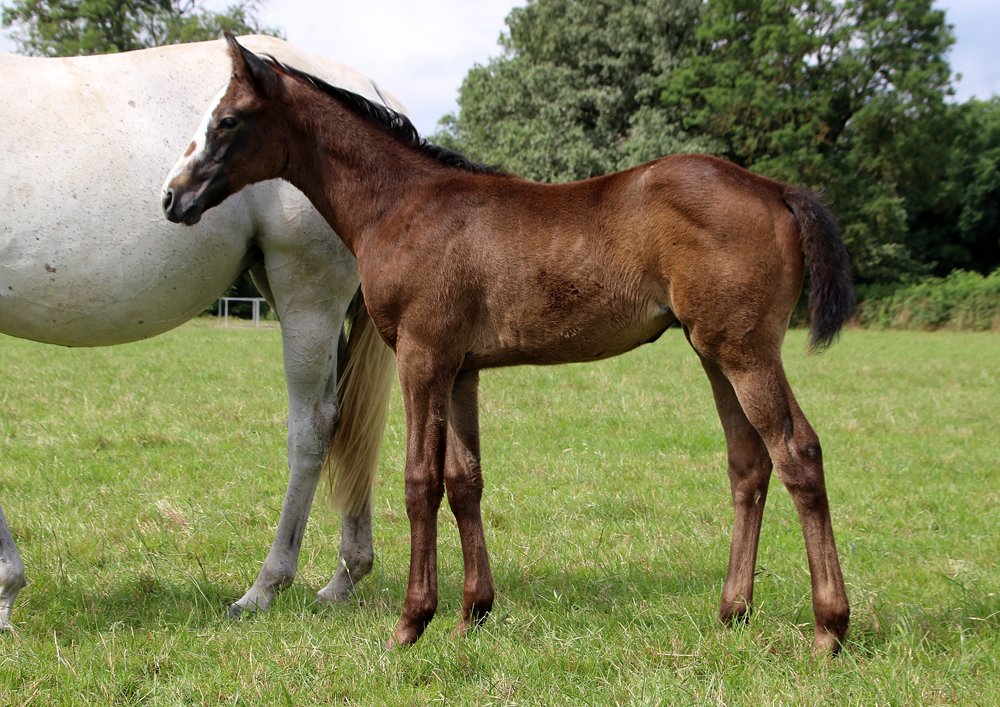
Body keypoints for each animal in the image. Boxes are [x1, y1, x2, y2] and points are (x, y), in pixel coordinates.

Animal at [0, 36, 398, 631]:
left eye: (227, 122)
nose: (169, 197)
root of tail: (369, 86)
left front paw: (5, 590)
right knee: (344, 420)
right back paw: (344, 577)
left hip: (308, 291)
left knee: (314, 425)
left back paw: (264, 587)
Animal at [163, 33, 855, 653]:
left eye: (227, 120)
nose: (173, 196)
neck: (402, 206)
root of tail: (776, 190)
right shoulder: (462, 368)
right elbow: (464, 479)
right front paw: (472, 613)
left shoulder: (422, 357)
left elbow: (420, 480)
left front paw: (412, 622)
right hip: (714, 353)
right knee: (749, 464)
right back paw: (733, 612)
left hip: (746, 352)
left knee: (799, 453)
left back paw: (829, 628)